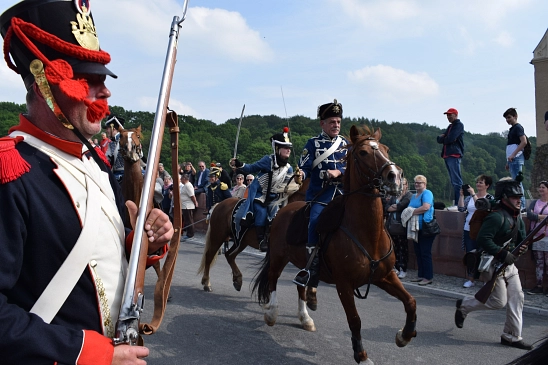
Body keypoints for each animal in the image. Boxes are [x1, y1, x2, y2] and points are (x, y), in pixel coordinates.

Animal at [252, 124, 416, 362]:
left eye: (385, 148)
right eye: (363, 152)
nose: (394, 177)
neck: (369, 235)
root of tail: (283, 209)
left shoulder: (385, 276)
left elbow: (410, 301)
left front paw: (404, 335)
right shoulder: (344, 285)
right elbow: (355, 320)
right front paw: (362, 356)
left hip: (301, 262)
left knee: (301, 284)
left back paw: (305, 318)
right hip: (278, 257)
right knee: (273, 279)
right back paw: (272, 313)